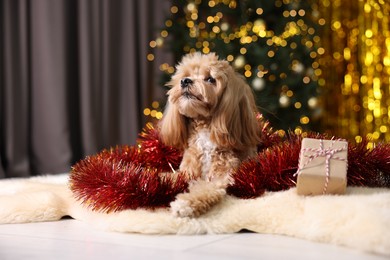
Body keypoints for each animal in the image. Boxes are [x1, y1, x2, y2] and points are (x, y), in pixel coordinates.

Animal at [160, 52, 260, 217]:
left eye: (210, 79)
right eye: (186, 75)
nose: (185, 81)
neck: (205, 133)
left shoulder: (222, 177)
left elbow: (205, 189)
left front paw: (185, 203)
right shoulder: (187, 171)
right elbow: (170, 177)